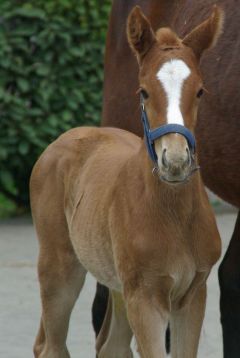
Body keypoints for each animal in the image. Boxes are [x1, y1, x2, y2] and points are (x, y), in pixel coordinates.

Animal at [31, 5, 223, 358]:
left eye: (200, 91)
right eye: (143, 91)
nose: (175, 161)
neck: (173, 214)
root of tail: (65, 138)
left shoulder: (193, 294)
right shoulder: (145, 297)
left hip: (117, 284)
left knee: (111, 347)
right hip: (60, 268)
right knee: (52, 346)